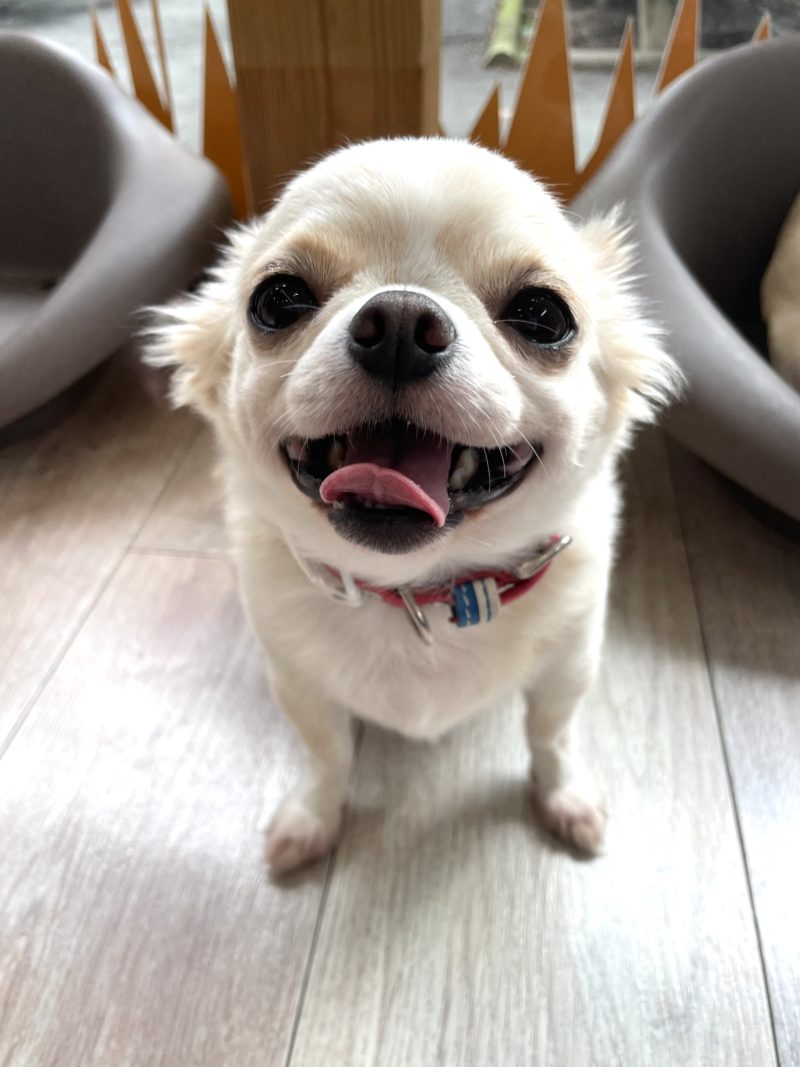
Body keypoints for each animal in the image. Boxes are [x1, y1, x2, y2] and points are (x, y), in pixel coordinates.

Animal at [148, 138, 680, 874]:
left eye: (544, 315)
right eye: (278, 300)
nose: (399, 319)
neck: (414, 592)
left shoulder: (568, 664)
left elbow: (551, 733)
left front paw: (564, 796)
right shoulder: (299, 682)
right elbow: (328, 754)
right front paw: (313, 816)